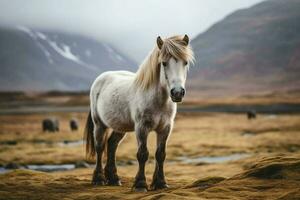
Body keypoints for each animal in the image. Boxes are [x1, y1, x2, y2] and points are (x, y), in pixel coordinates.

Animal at [84, 34, 195, 192]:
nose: (177, 93)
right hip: (99, 124)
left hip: (120, 127)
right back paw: (99, 179)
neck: (158, 100)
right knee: (100, 147)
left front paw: (160, 183)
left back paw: (114, 178)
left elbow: (161, 154)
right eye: (164, 63)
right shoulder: (142, 127)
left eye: (185, 62)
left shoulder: (165, 128)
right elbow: (142, 154)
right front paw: (140, 184)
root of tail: (100, 79)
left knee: (112, 145)